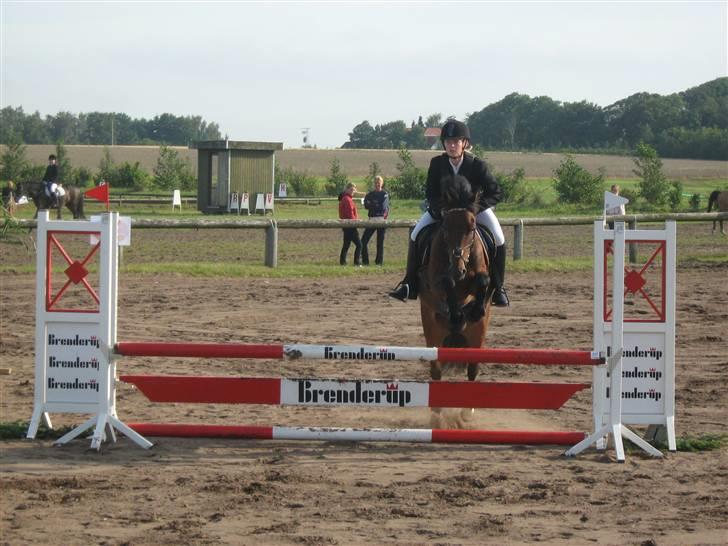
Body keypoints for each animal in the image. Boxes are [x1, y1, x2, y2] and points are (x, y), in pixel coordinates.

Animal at [418, 175, 494, 385]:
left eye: (472, 228)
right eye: (445, 227)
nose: (458, 269)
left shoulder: (479, 277)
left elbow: (483, 280)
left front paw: (475, 310)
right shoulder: (434, 282)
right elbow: (446, 283)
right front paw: (455, 314)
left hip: (478, 337)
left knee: (472, 370)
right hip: (432, 332)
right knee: (436, 370)